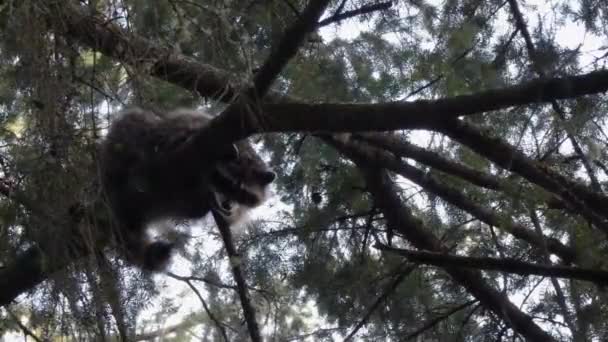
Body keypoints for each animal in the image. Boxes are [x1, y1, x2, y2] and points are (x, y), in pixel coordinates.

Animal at [100, 108, 276, 272]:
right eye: (230, 184)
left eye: (242, 195)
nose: (228, 204)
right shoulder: (197, 126)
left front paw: (213, 202)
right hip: (120, 152)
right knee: (135, 123)